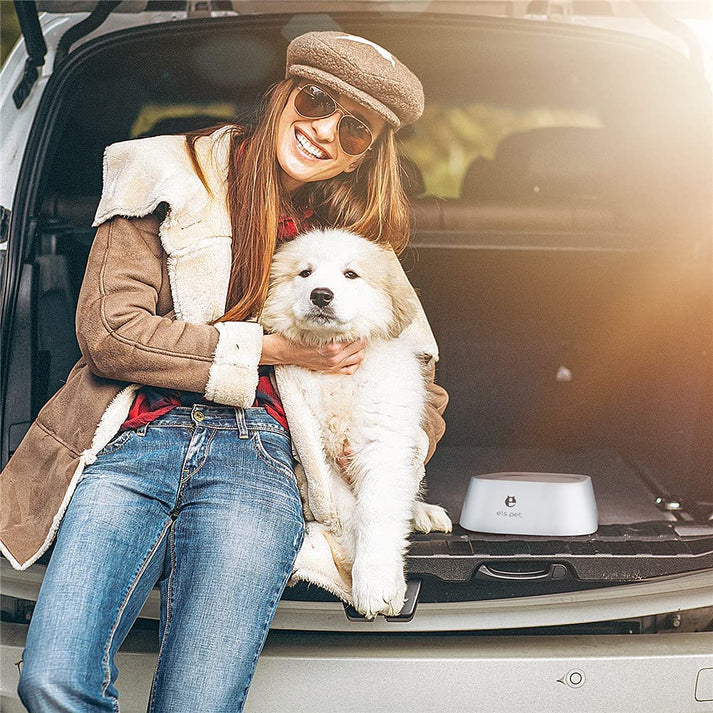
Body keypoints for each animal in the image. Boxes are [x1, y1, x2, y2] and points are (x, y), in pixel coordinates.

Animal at [262, 229, 450, 616]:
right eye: (305, 273)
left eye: (351, 274)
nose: (321, 295)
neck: (337, 377)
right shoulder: (316, 462)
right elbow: (348, 514)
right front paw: (366, 576)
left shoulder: (384, 445)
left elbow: (376, 512)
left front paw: (376, 582)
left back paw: (424, 514)